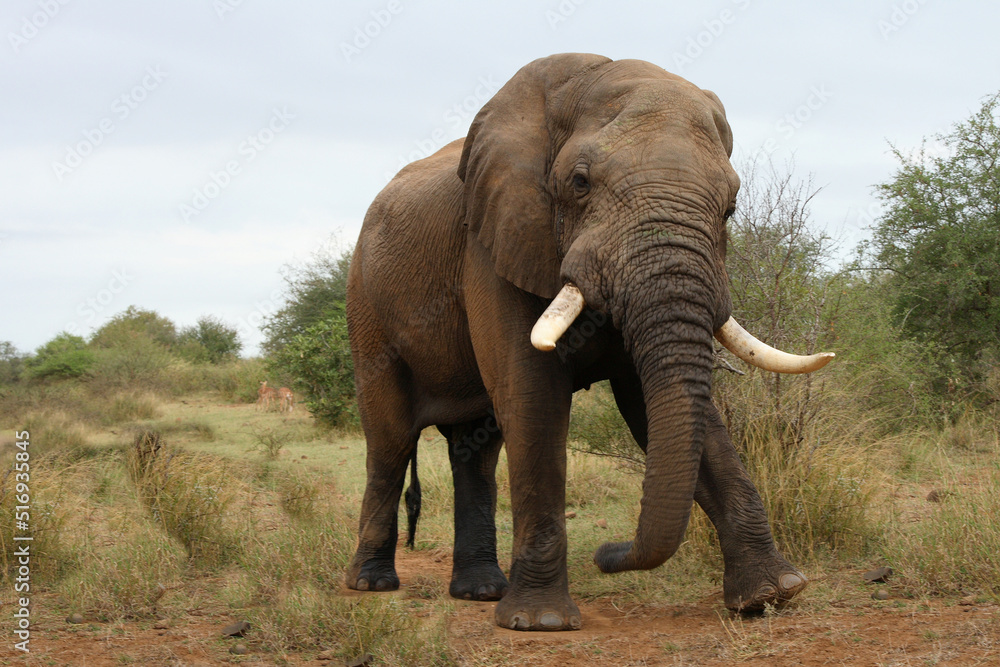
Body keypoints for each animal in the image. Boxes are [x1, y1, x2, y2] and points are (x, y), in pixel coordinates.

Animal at [344, 53, 834, 631]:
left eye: (732, 207)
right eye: (579, 182)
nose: (605, 553)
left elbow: (662, 408)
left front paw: (772, 595)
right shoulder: (494, 242)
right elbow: (533, 397)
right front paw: (540, 623)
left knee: (476, 450)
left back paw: (480, 591)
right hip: (366, 304)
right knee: (391, 440)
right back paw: (372, 584)